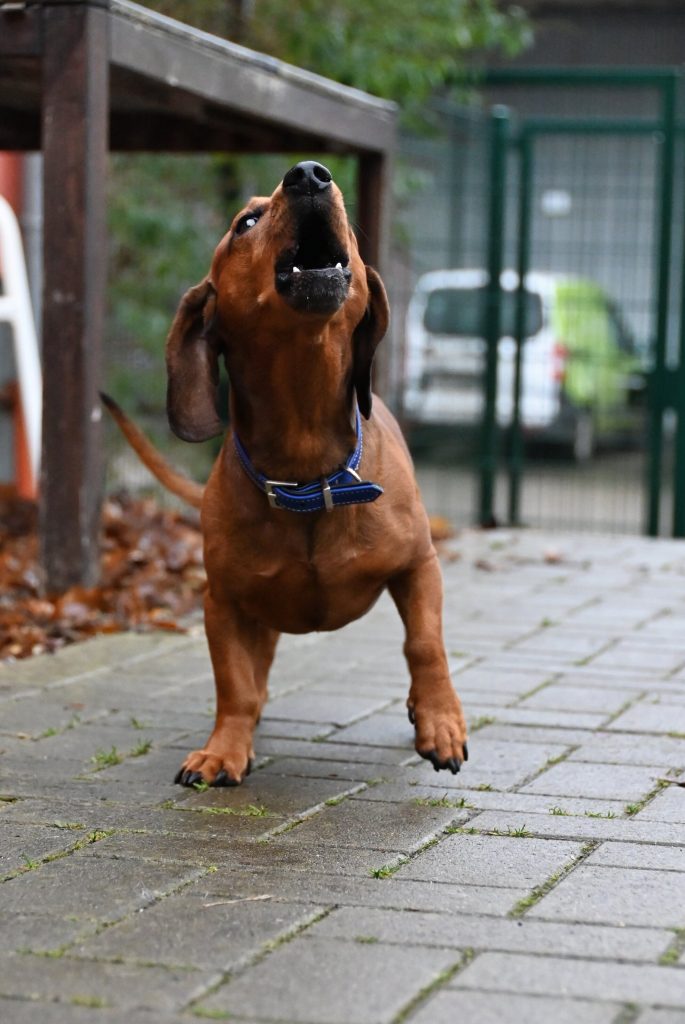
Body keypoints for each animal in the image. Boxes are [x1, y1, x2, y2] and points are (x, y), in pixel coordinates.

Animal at [103, 160, 468, 786]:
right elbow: (235, 684)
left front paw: (441, 723)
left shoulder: (420, 566)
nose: (310, 174)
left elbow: (425, 645)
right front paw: (224, 749)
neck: (309, 476)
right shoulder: (223, 604)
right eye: (245, 223)